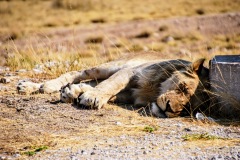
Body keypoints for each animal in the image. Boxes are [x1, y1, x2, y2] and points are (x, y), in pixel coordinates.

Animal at [16, 53, 209, 118]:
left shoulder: (131, 95)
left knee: (89, 83)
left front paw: (85, 95)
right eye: (182, 87)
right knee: (77, 73)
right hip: (111, 66)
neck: (155, 91)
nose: (170, 109)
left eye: (189, 108)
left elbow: (111, 92)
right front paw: (92, 98)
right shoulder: (131, 72)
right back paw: (41, 86)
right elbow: (110, 85)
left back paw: (71, 91)